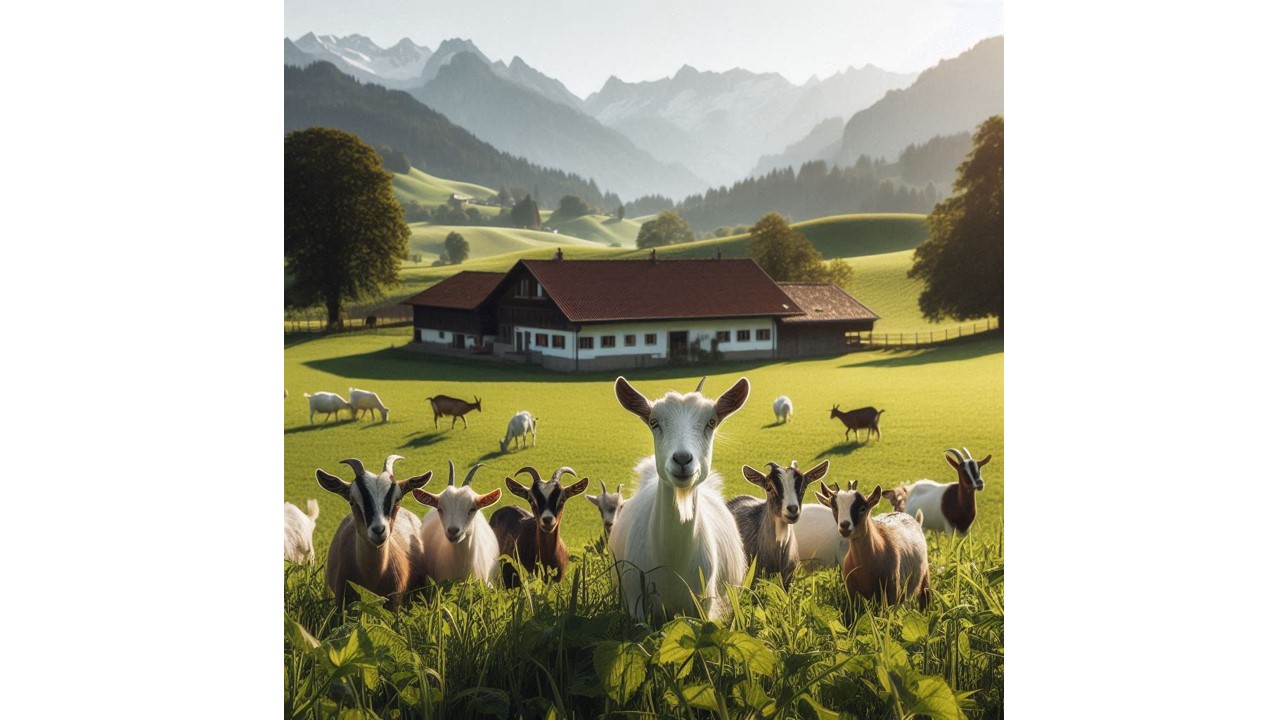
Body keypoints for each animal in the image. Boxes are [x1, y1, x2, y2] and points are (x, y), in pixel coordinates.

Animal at [315, 455, 432, 610]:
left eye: (397, 500)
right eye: (352, 502)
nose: (379, 530)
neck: (372, 576)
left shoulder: (393, 604)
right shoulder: (342, 603)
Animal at [609, 375, 750, 623]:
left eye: (711, 422)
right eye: (654, 422)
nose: (683, 459)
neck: (672, 563)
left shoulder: (703, 605)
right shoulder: (634, 601)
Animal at [816, 480, 931, 610]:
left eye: (862, 508)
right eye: (835, 508)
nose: (844, 526)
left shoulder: (890, 595)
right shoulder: (852, 596)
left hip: (925, 577)